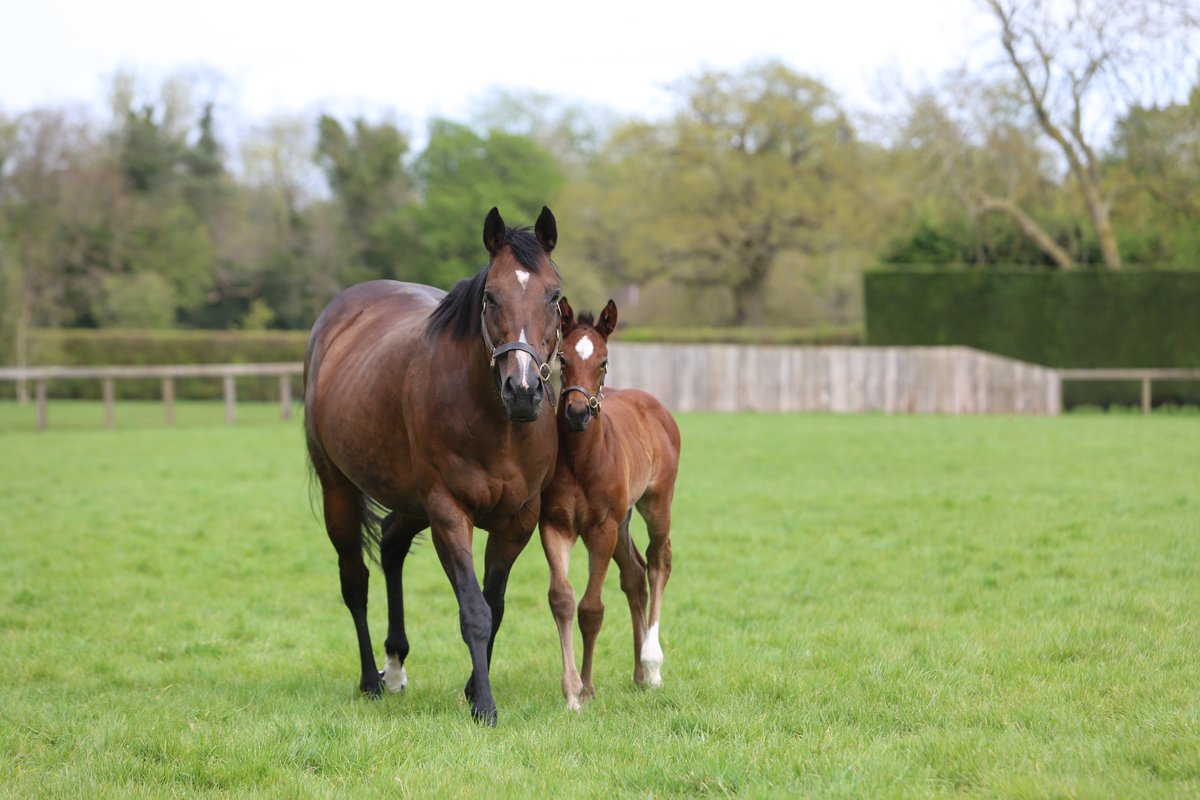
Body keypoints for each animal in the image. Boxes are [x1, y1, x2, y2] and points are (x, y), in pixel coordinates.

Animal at [540, 298, 681, 705]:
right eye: (562, 358)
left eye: (603, 361)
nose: (576, 413)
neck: (581, 461)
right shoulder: (555, 525)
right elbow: (562, 599)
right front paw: (572, 691)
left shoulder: (600, 529)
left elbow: (591, 608)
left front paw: (586, 688)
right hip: (623, 519)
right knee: (634, 575)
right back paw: (637, 673)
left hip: (655, 503)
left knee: (658, 562)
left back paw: (652, 666)